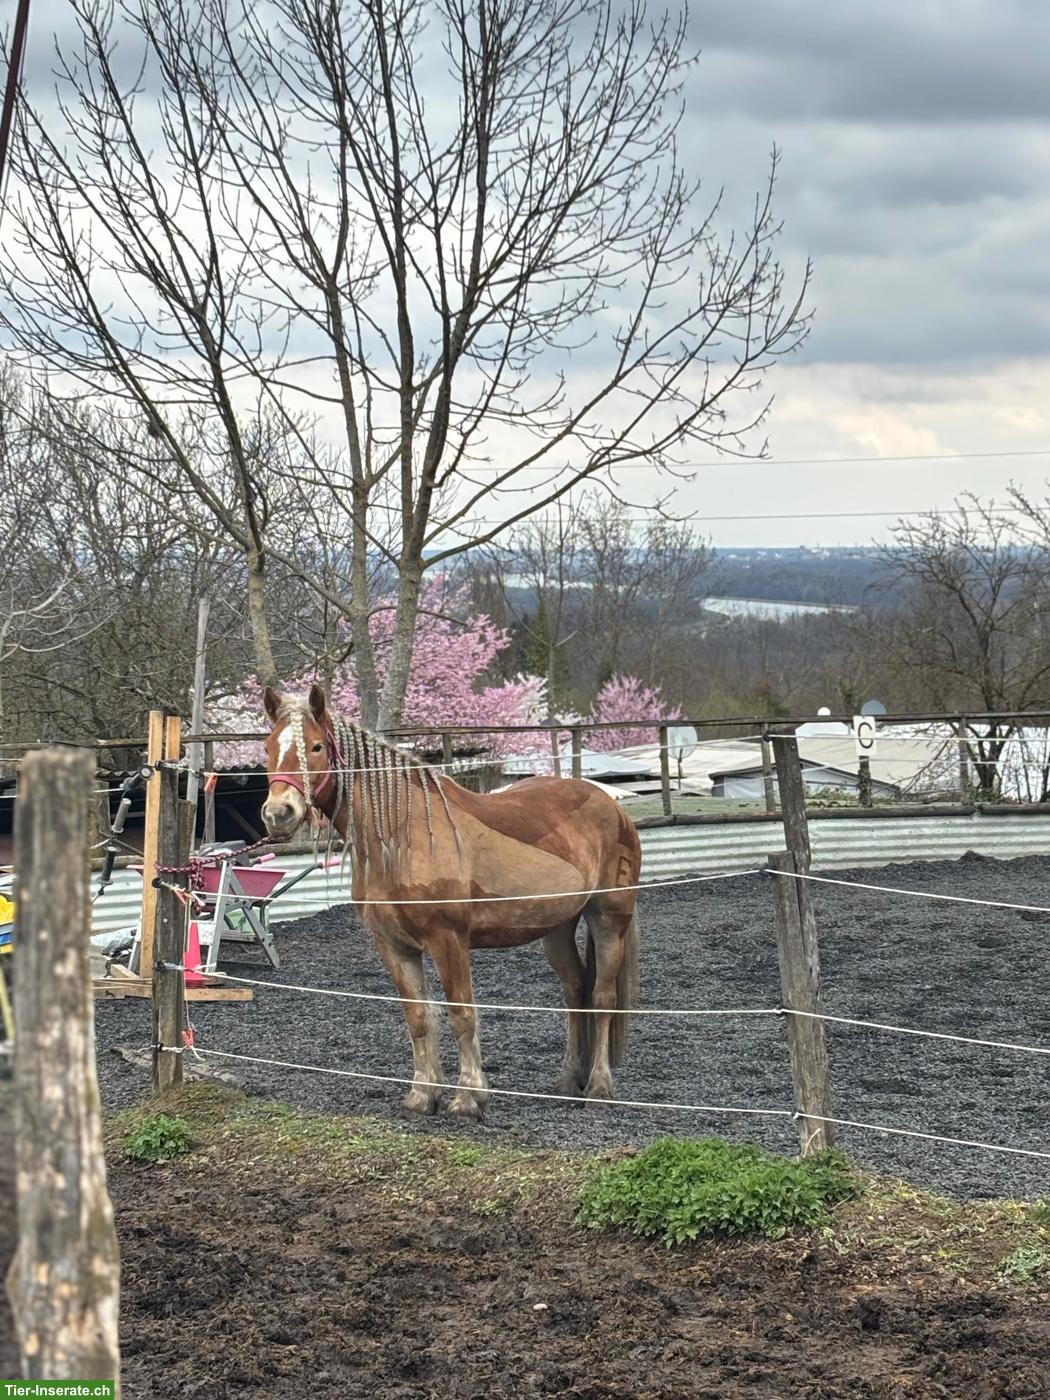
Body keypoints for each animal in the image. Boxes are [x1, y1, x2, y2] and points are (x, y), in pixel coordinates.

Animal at [259, 684, 641, 1119]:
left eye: (317, 746)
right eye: (268, 747)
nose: (278, 814)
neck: (402, 837)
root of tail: (612, 807)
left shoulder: (449, 940)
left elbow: (461, 1014)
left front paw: (469, 1097)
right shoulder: (393, 946)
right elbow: (418, 1017)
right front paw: (423, 1094)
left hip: (608, 917)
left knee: (603, 996)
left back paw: (598, 1086)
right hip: (556, 928)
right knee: (575, 991)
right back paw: (566, 1082)